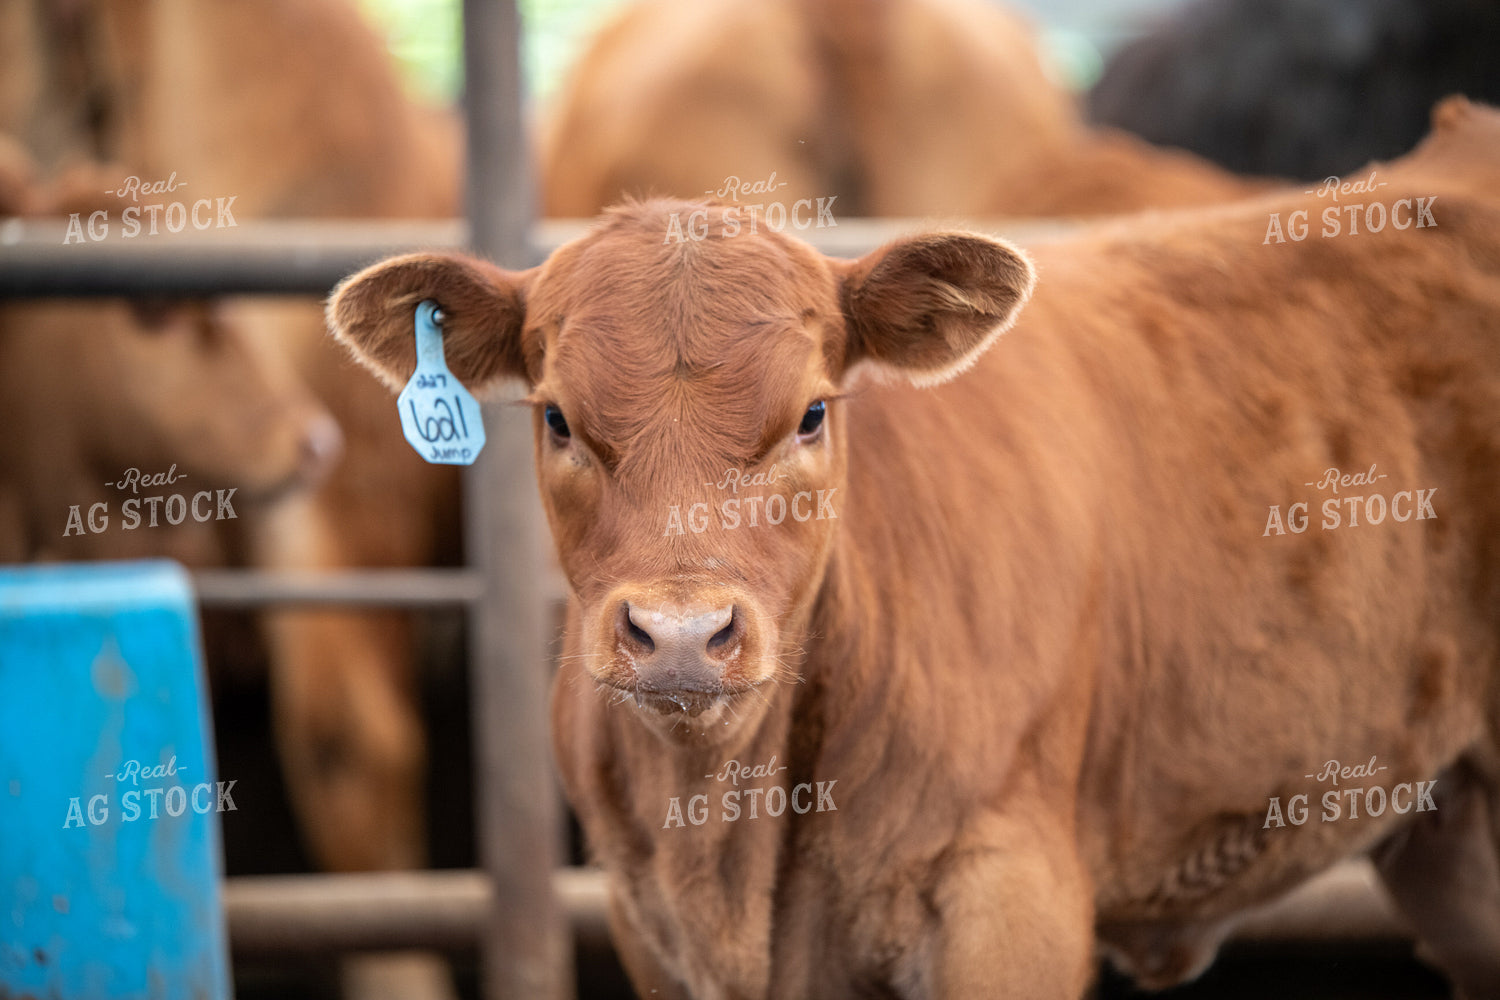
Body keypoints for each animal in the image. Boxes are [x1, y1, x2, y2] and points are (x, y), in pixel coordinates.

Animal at [328, 95, 1500, 999]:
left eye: (812, 412)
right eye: (559, 419)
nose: (682, 636)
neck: (731, 843)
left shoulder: (1010, 900)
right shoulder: (644, 919)